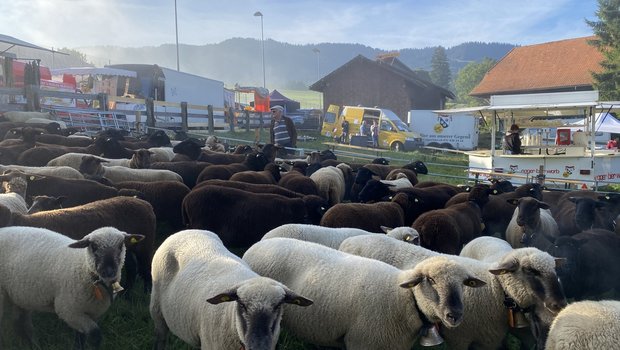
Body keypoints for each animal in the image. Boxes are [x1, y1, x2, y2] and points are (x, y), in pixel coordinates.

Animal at [0, 226, 144, 348]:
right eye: (93, 246)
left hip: (20, 295)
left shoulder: (90, 311)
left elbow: (81, 337)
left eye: (121, 245)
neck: (84, 267)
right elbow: (95, 335)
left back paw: (30, 344)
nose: (108, 271)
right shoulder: (68, 310)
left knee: (19, 322)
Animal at [150, 230, 312, 350]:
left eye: (278, 305)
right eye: (242, 305)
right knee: (161, 337)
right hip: (157, 309)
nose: (258, 346)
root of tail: (185, 231)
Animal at [340, 232, 568, 350]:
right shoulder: (460, 338)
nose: (560, 304)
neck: (494, 289)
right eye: (530, 271)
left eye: (555, 270)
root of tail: (351, 239)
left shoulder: (487, 340)